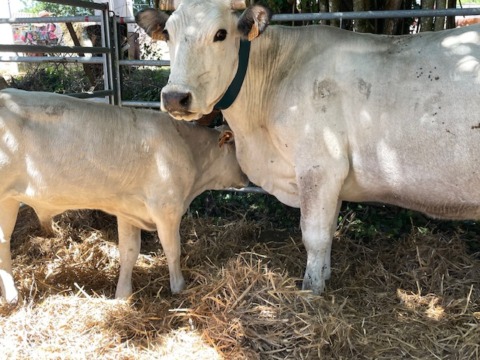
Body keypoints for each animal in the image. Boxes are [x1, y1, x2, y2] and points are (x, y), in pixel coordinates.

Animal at [0, 88, 246, 304]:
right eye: (238, 148)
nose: (247, 178)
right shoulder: (167, 210)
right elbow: (172, 249)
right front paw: (178, 287)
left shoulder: (129, 210)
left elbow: (129, 251)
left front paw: (122, 294)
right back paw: (12, 297)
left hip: (8, 200)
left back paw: (9, 296)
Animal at [135, 0, 480, 296]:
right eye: (168, 33)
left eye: (220, 34)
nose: (175, 97)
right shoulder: (334, 176)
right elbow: (327, 231)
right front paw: (324, 276)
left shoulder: (320, 164)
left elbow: (313, 234)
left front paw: (310, 289)